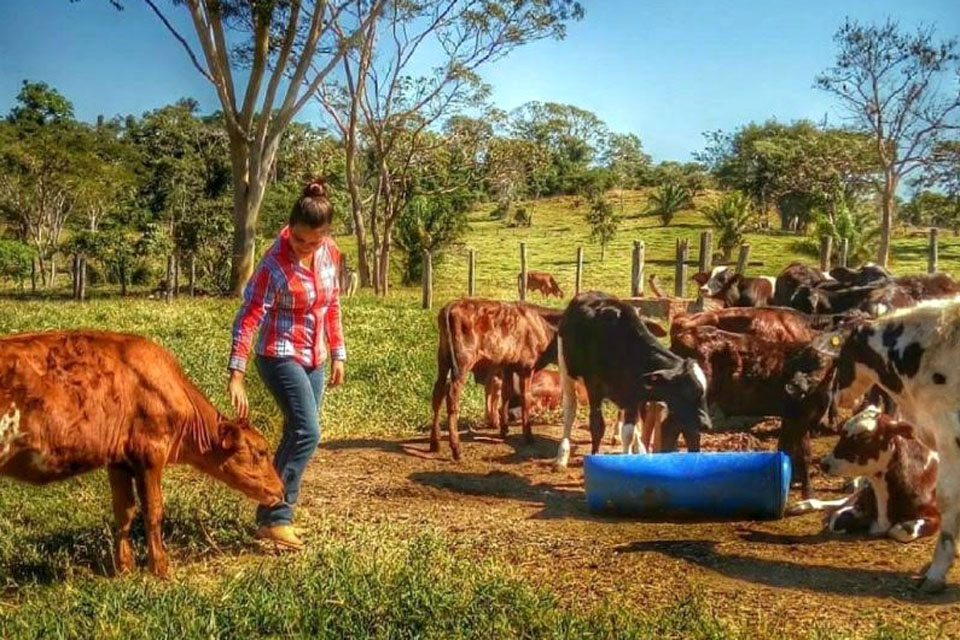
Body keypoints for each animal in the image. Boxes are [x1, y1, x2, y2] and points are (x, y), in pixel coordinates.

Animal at [0, 332, 284, 576]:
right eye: (261, 452)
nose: (280, 489)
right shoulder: (150, 453)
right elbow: (153, 510)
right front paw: (159, 566)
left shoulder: (117, 459)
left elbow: (124, 510)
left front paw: (124, 567)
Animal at [430, 298, 564, 458]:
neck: (541, 324)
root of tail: (452, 305)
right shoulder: (526, 368)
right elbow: (525, 398)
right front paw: (528, 436)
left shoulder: (507, 366)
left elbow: (506, 394)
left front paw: (504, 429)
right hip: (463, 362)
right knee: (451, 396)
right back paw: (456, 448)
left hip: (443, 360)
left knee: (438, 393)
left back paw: (435, 443)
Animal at [552, 292, 708, 468]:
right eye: (689, 391)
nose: (707, 424)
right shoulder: (594, 387)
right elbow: (597, 425)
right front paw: (595, 455)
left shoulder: (634, 394)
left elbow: (629, 432)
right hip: (566, 369)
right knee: (570, 409)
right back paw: (562, 455)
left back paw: (640, 448)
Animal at [788, 408, 936, 544]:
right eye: (842, 433)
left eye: (865, 437)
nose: (824, 464)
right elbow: (838, 518)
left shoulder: (935, 515)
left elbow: (901, 530)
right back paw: (803, 505)